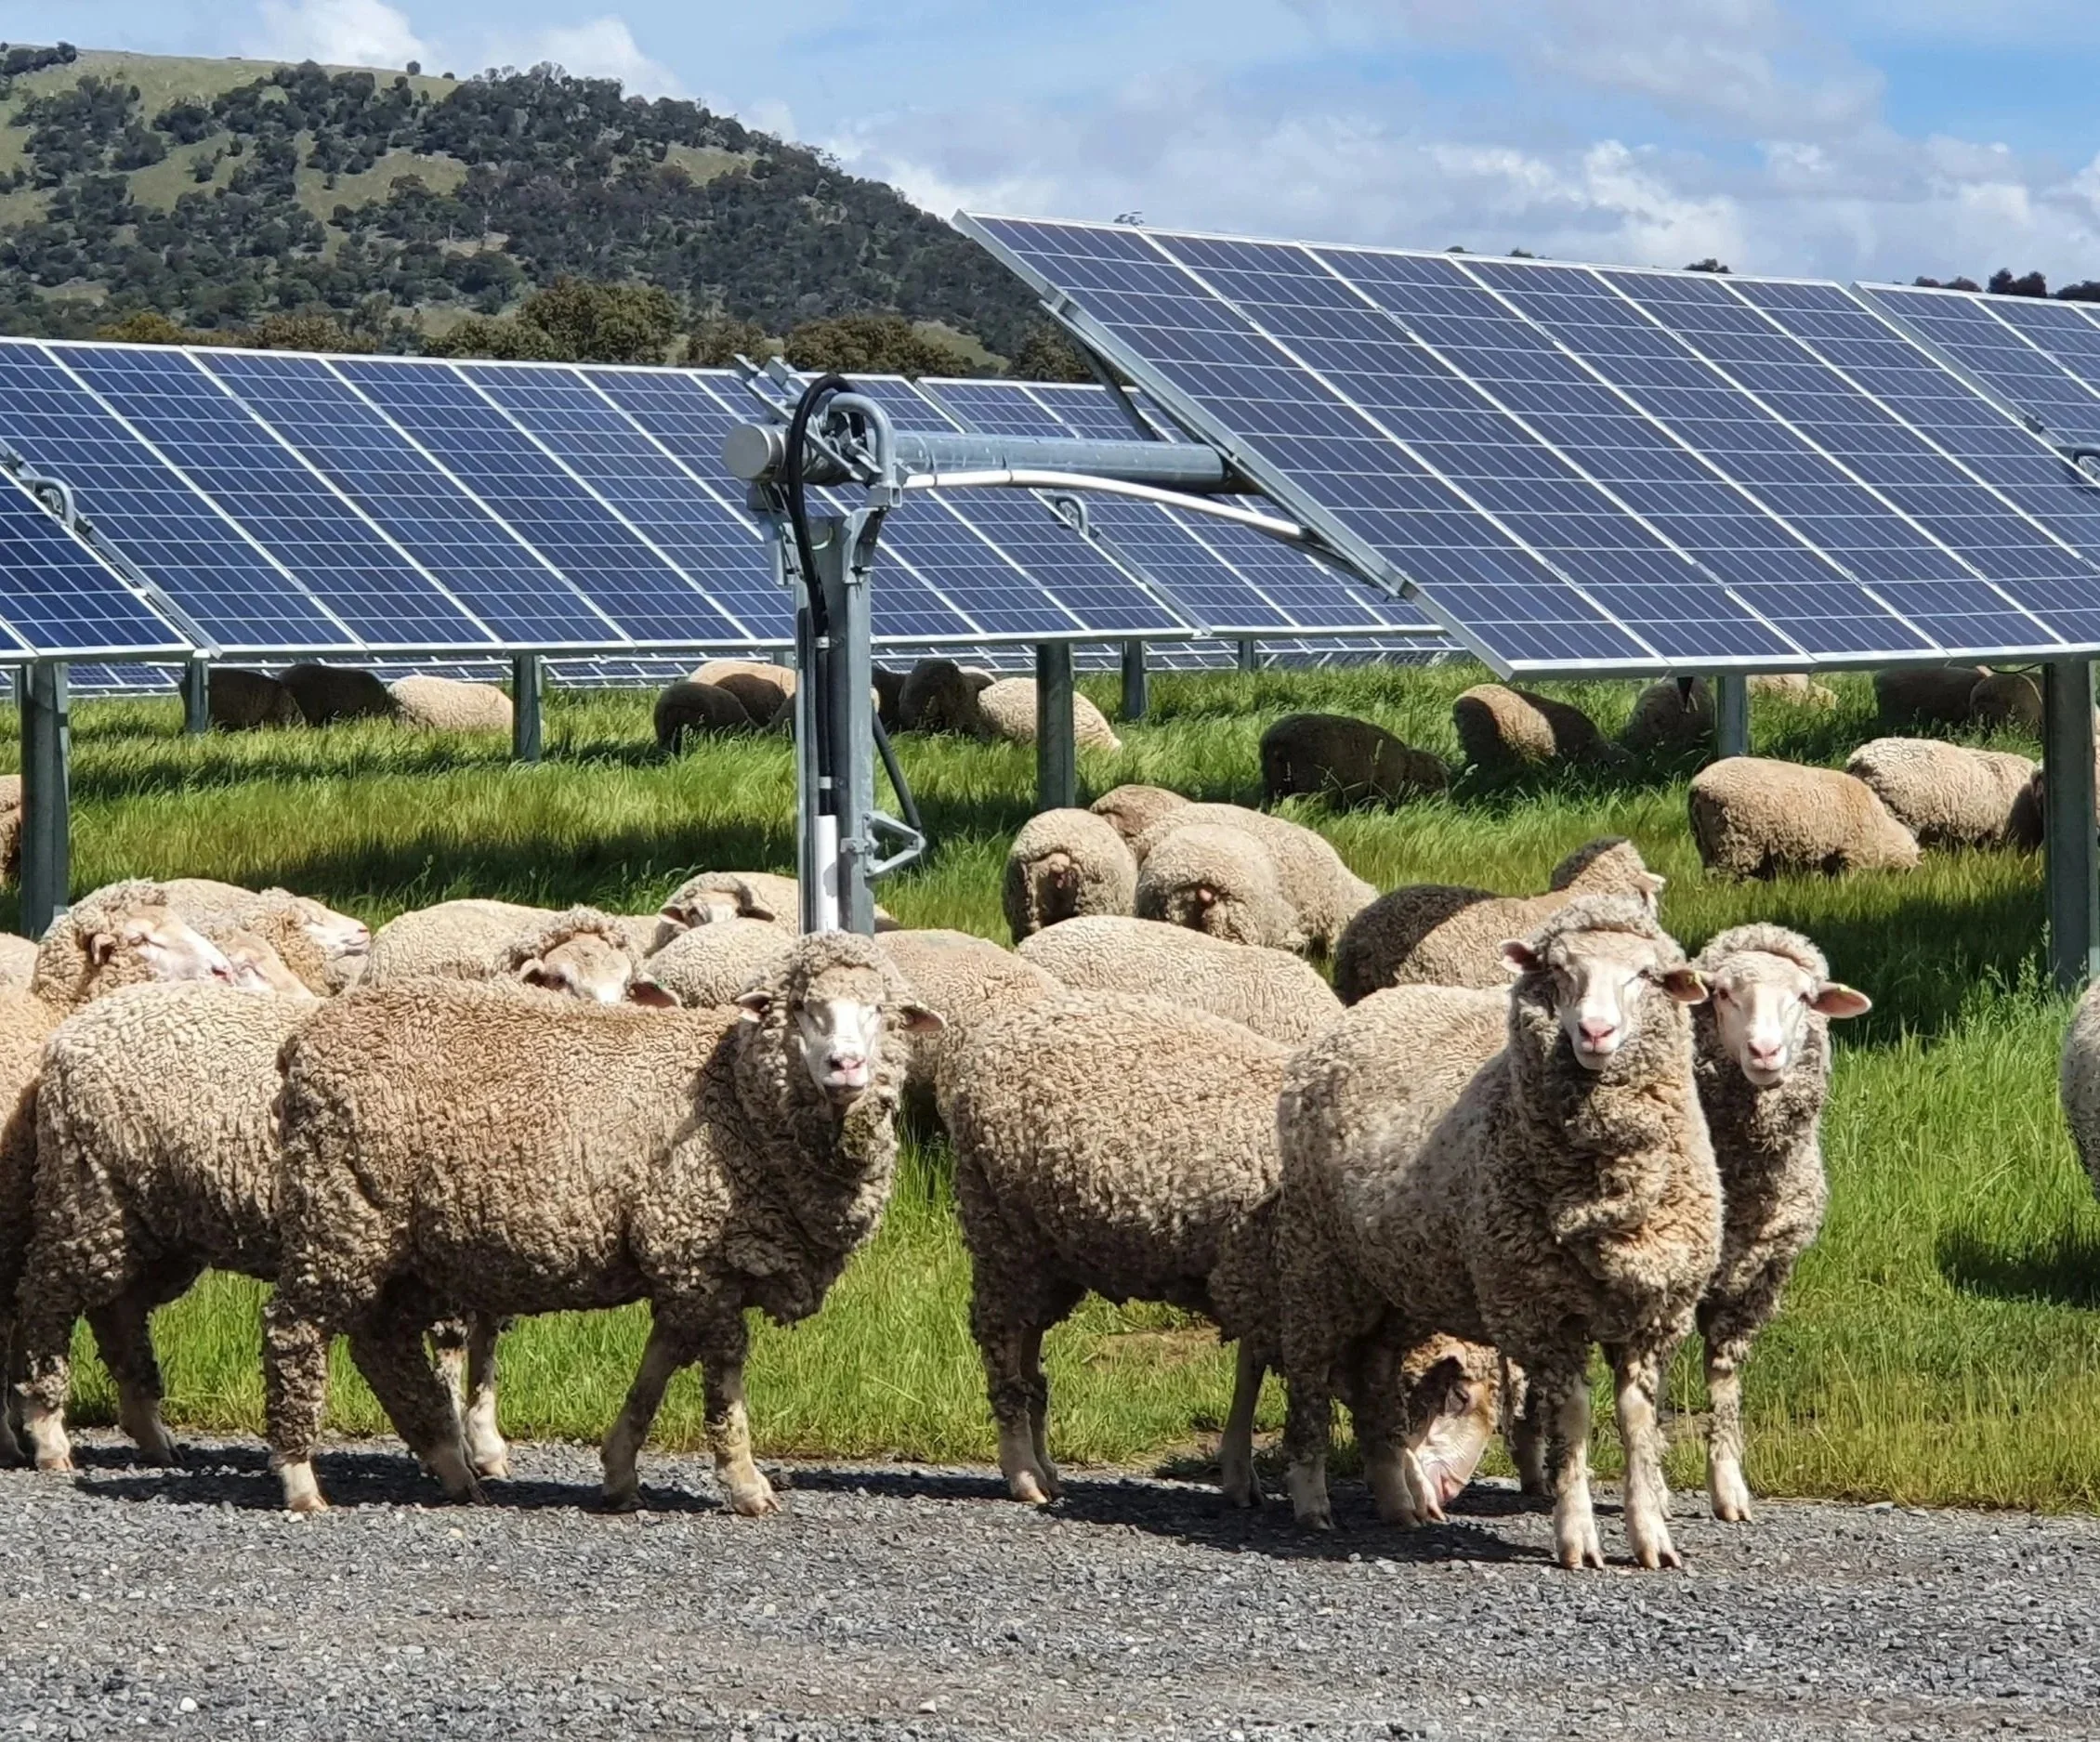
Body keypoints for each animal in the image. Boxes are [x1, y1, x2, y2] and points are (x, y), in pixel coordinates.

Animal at [261, 931, 939, 1513]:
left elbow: (656, 1369)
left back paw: (451, 1466)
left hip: (400, 1240)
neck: (738, 1096)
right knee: (293, 1329)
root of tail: (307, 1037)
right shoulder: (697, 1251)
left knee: (382, 1341)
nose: (845, 1065)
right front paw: (747, 1483)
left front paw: (619, 1470)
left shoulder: (682, 1259)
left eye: (882, 1011)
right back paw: (300, 1477)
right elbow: (724, 1379)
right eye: (802, 1007)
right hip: (340, 1210)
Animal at [1259, 713, 1448, 807]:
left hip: (1276, 784)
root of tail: (1275, 741)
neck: (1407, 768)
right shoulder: (1380, 791)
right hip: (1309, 785)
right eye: (1435, 779)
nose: (1443, 801)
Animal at [1273, 897, 1720, 1568]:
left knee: (1375, 1373)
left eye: (1645, 974)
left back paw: (1396, 1500)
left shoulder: (1655, 1311)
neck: (1609, 1190)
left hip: (1400, 1281)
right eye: (1558, 970)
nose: (1594, 1033)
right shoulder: (1542, 1310)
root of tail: (1366, 1008)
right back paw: (1311, 1499)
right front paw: (1577, 1535)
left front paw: (1653, 1538)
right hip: (1316, 1260)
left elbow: (1638, 1422)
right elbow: (1574, 1419)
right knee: (1309, 1376)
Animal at [1689, 758, 1921, 879]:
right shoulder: (1854, 854)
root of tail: (1699, 785)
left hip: (1707, 840)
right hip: (1735, 840)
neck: (1883, 831)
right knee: (1722, 876)